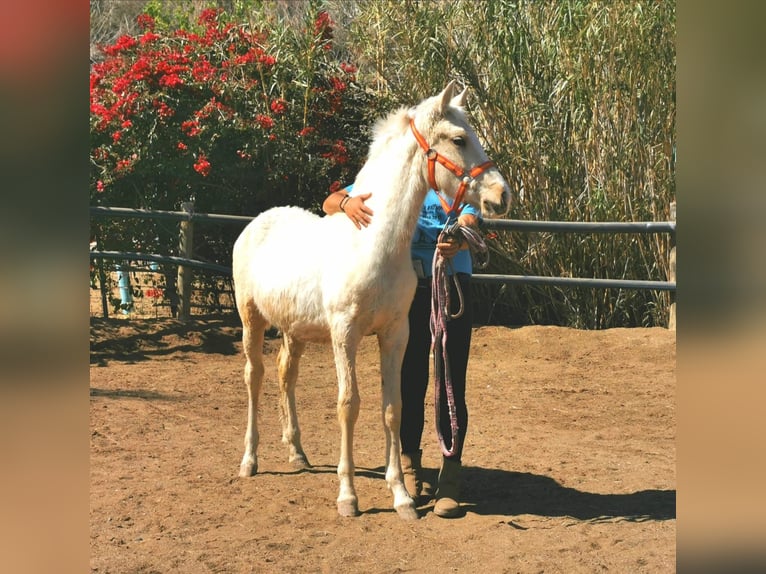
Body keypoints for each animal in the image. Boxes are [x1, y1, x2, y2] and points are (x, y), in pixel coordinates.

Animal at [232, 82, 510, 520]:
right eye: (459, 139)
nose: (502, 196)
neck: (372, 244)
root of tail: (259, 221)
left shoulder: (396, 333)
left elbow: (393, 408)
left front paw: (402, 496)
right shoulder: (344, 334)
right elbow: (348, 405)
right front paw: (348, 497)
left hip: (294, 331)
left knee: (285, 375)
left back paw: (297, 453)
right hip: (251, 321)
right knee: (254, 377)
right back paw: (250, 460)